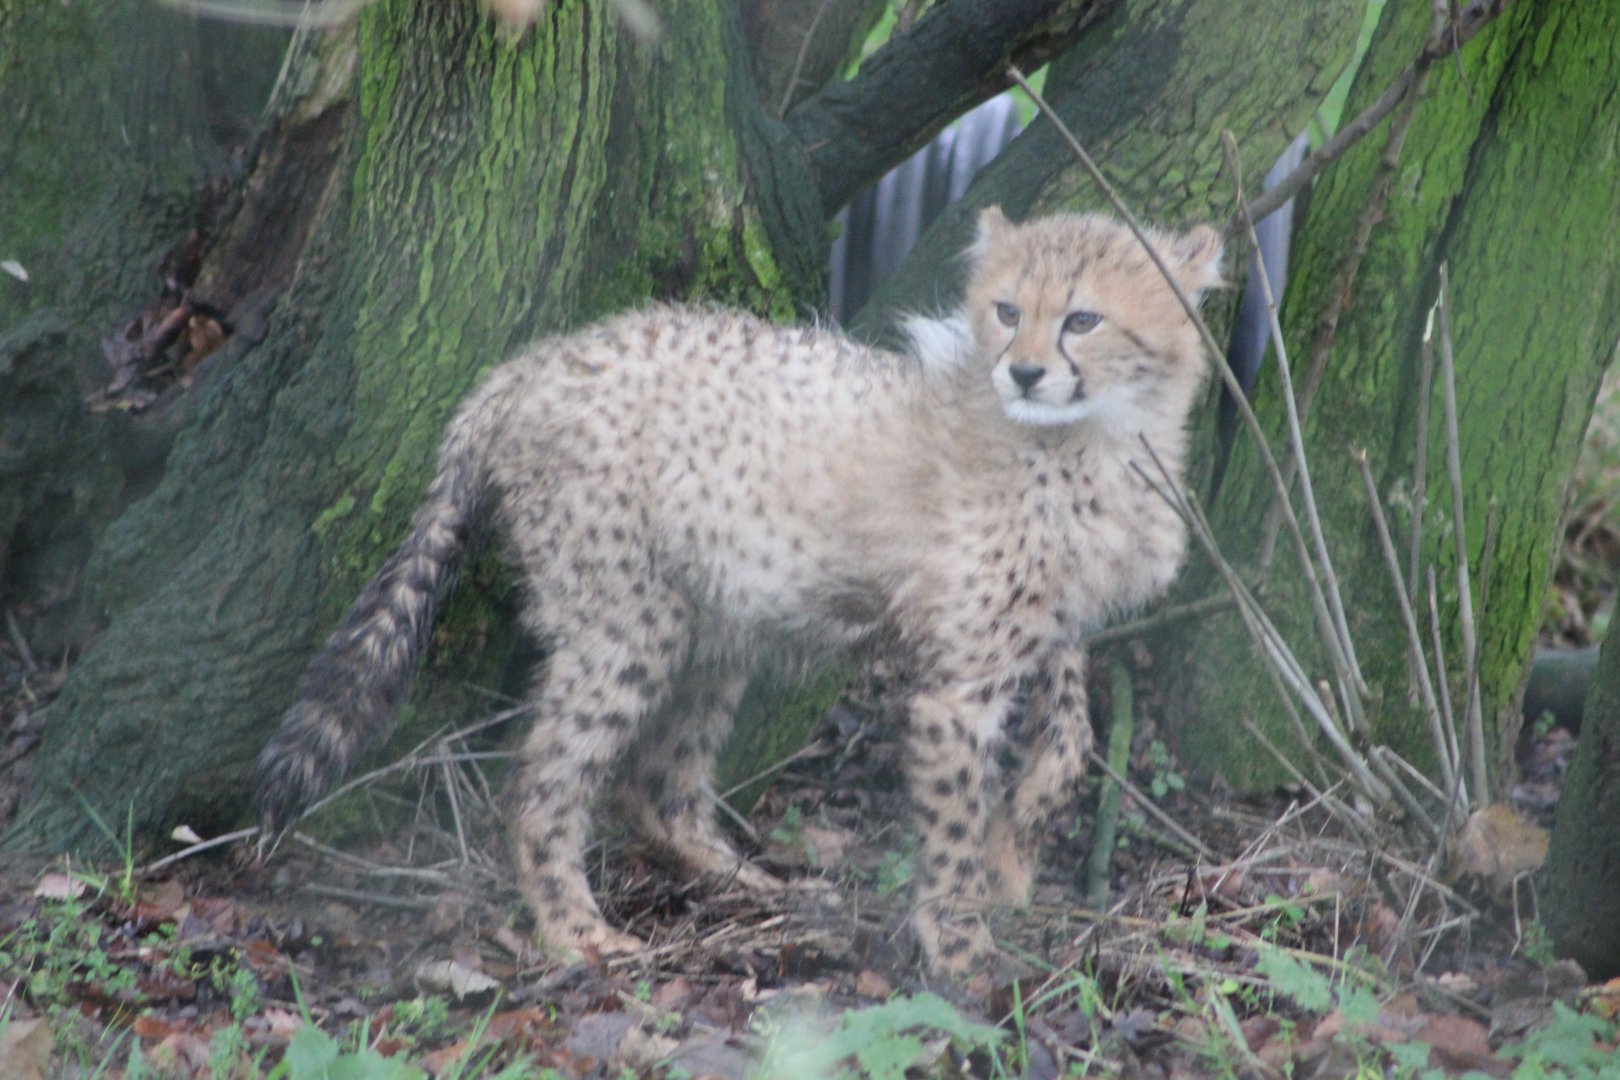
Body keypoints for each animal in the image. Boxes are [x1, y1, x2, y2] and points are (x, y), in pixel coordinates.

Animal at [255, 206, 1222, 974]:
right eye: (1008, 311)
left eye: (1084, 319)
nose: (1022, 371)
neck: (1091, 441)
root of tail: (524, 369)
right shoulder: (960, 681)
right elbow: (951, 823)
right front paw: (960, 942)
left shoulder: (1051, 627)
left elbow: (1071, 741)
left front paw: (1012, 854)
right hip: (626, 621)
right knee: (544, 784)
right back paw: (576, 930)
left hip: (714, 619)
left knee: (658, 784)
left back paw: (738, 875)